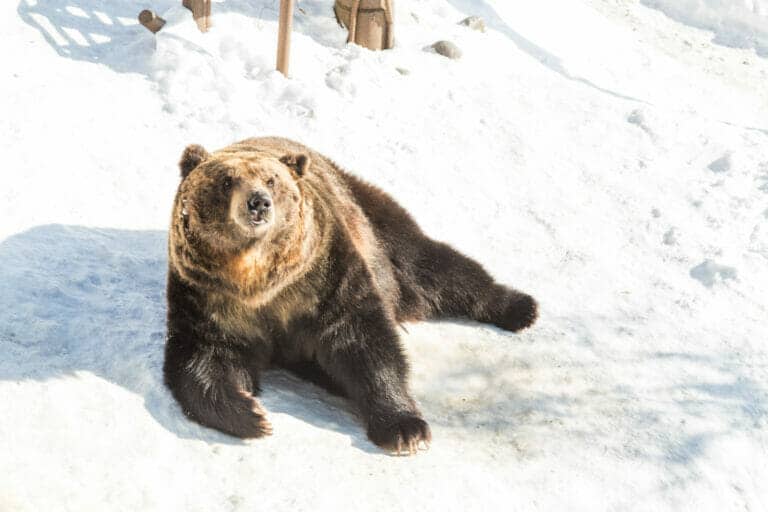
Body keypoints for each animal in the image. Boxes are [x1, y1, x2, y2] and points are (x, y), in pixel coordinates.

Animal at [164, 137, 536, 456]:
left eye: (272, 180)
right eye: (227, 180)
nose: (258, 202)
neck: (257, 279)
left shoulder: (323, 277)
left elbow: (362, 340)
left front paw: (405, 429)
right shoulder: (209, 299)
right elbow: (204, 359)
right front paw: (254, 415)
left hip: (374, 222)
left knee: (434, 267)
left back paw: (520, 307)